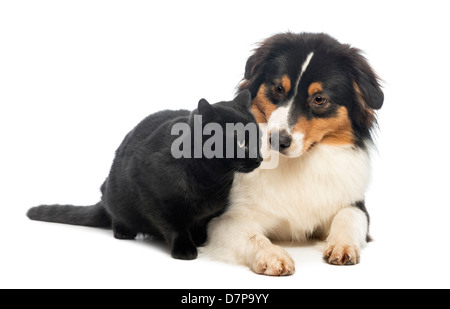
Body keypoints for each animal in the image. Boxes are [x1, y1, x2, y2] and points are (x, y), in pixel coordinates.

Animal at [26, 90, 262, 258]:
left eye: (258, 138)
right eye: (241, 142)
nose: (259, 159)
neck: (211, 181)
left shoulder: (213, 210)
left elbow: (203, 223)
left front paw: (201, 239)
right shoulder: (151, 196)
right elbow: (173, 225)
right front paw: (185, 248)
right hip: (113, 195)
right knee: (114, 215)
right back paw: (123, 231)